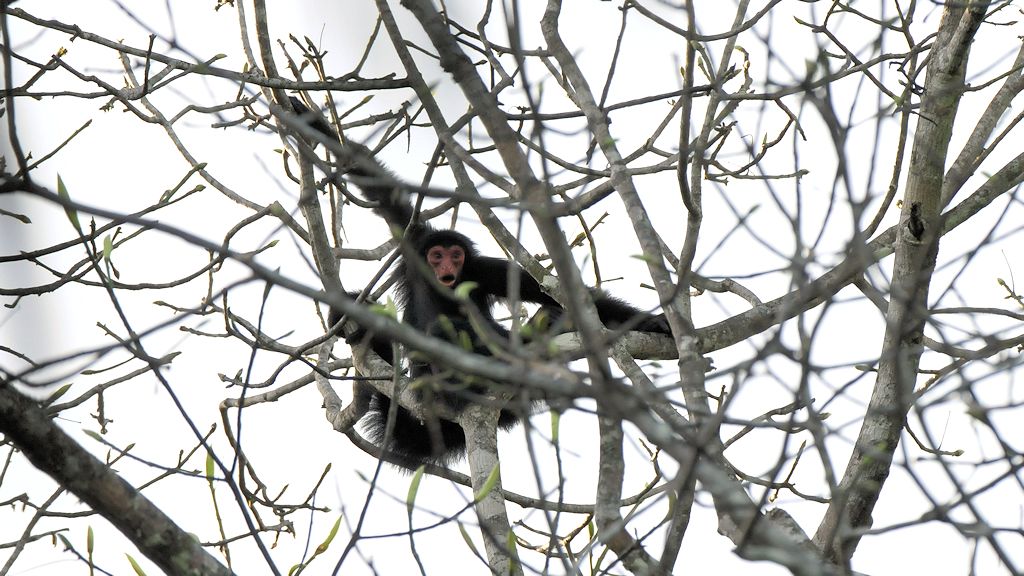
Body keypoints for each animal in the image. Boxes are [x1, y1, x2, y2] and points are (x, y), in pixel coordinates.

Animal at [290, 98, 671, 469]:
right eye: (437, 255)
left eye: (455, 255)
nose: (447, 266)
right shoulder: (415, 245)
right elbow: (381, 191)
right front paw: (308, 120)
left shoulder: (483, 270)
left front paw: (653, 322)